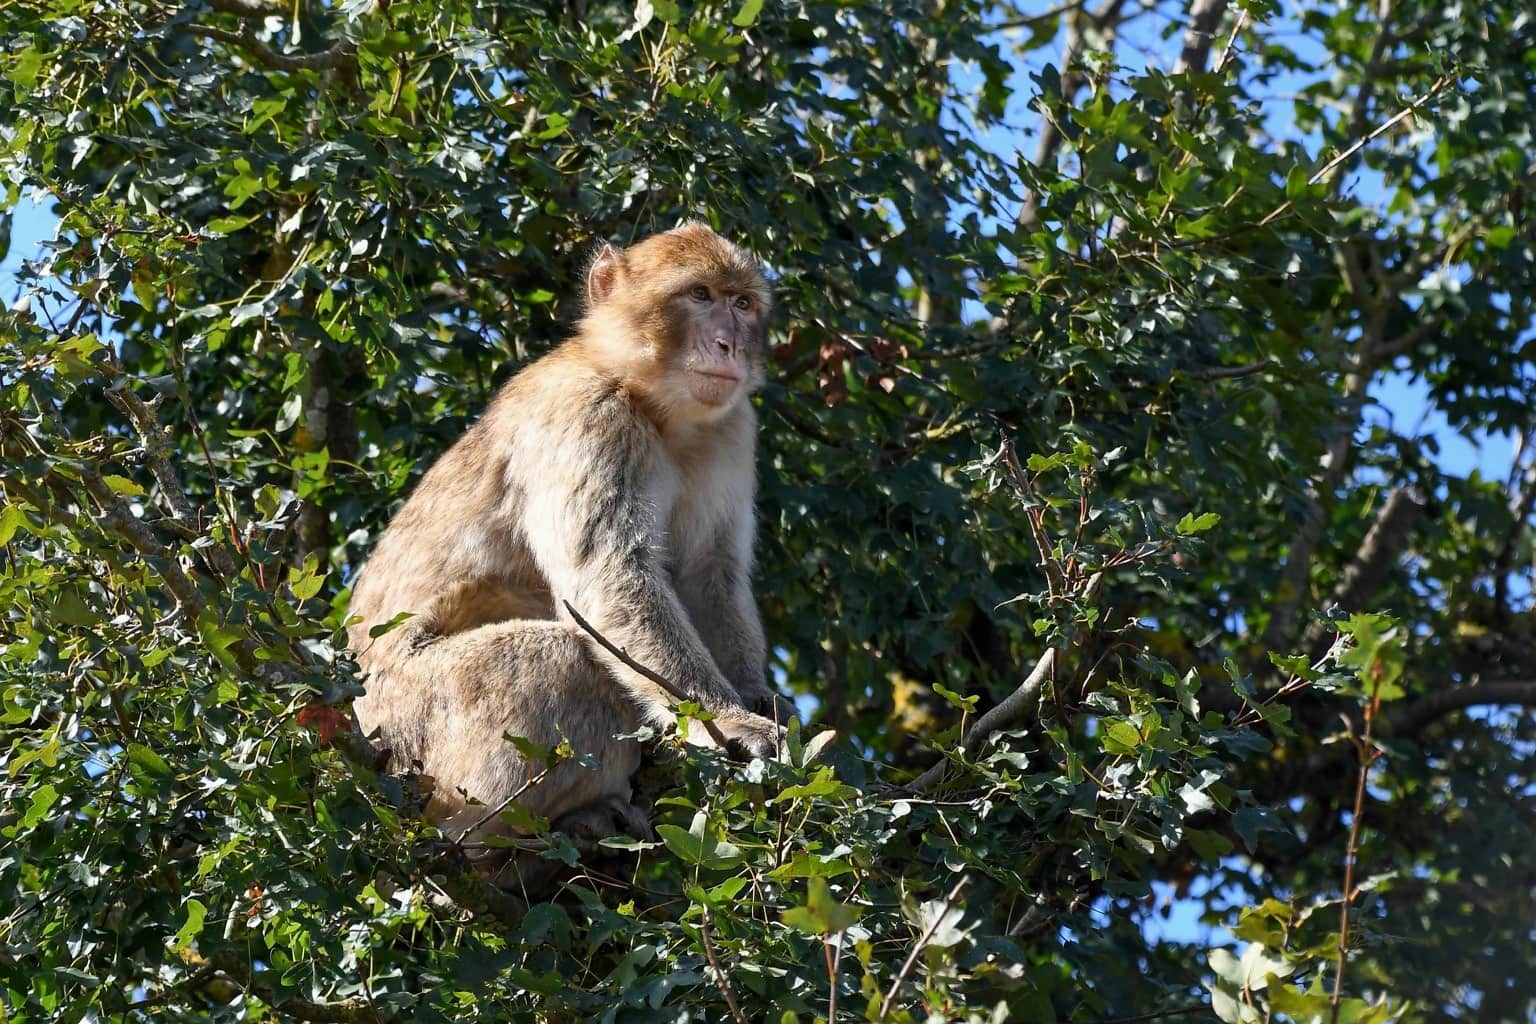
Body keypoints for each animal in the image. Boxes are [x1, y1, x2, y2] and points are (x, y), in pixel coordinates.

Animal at [351, 224, 786, 884]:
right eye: (700, 295)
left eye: (741, 303)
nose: (729, 343)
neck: (654, 408)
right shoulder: (586, 417)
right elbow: (611, 578)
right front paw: (728, 720)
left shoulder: (733, 432)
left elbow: (711, 575)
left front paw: (756, 697)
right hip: (405, 729)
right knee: (563, 658)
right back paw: (492, 849)